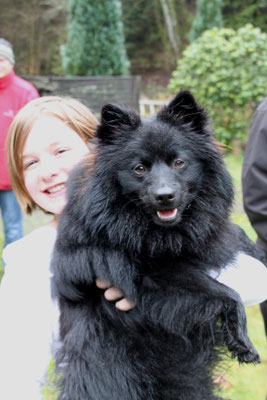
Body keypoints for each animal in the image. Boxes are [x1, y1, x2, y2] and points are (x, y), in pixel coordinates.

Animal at [51, 91, 262, 400]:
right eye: (139, 169)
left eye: (179, 163)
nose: (165, 196)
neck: (161, 233)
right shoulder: (145, 274)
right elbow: (226, 292)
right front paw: (242, 343)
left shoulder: (212, 238)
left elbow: (236, 237)